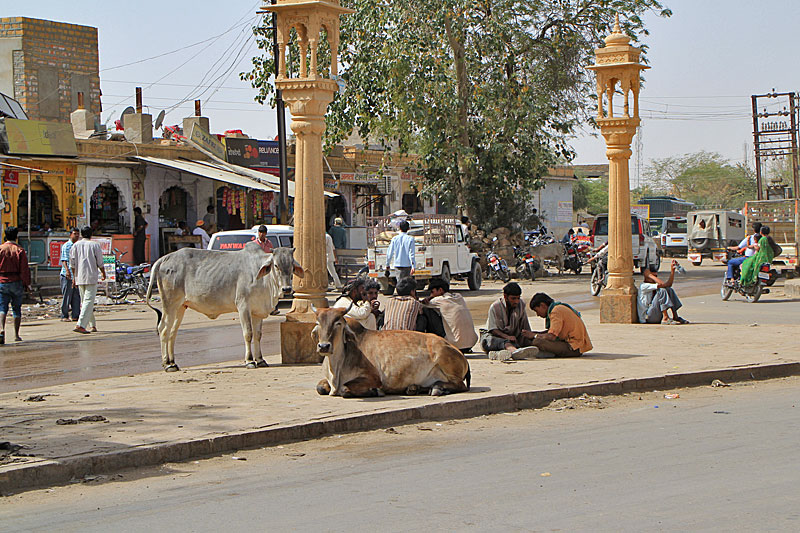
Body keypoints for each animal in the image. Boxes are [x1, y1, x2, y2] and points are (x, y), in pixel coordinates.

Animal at [145, 241, 304, 370]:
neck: (265, 281)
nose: (287, 289)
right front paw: (250, 361)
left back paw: (173, 362)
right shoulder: (243, 306)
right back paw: (166, 364)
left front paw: (260, 360)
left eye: (291, 266)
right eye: (276, 266)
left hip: (180, 307)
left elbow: (258, 335)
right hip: (169, 304)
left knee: (172, 332)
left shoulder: (257, 312)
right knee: (163, 329)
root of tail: (164, 258)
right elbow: (248, 334)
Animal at [312, 306, 472, 396]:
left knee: (461, 385)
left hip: (445, 360)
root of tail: (458, 351)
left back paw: (437, 388)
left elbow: (345, 389)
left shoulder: (373, 378)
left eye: (338, 323)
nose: (324, 346)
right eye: (318, 323)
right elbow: (320, 387)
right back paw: (413, 388)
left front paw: (375, 391)